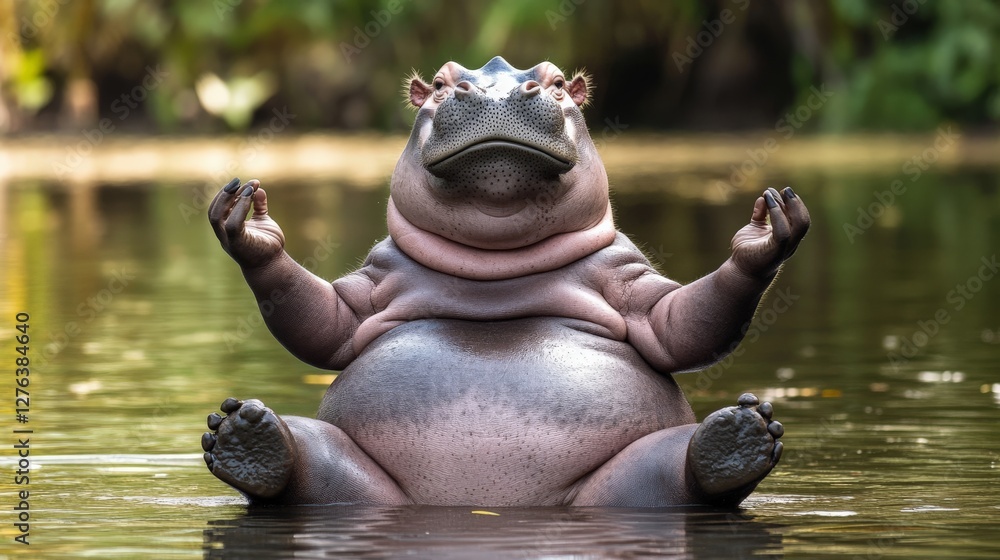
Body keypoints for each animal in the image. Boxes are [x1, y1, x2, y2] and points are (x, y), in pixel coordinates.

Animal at [203, 56, 809, 507]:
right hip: (352, 476)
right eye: (439, 84)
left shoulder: (633, 285)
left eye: (560, 82)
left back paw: (738, 437)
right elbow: (322, 323)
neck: (496, 264)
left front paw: (764, 230)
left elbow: (681, 327)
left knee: (683, 473)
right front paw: (250, 222)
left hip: (632, 478)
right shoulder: (370, 286)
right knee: (305, 465)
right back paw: (248, 438)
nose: (495, 92)